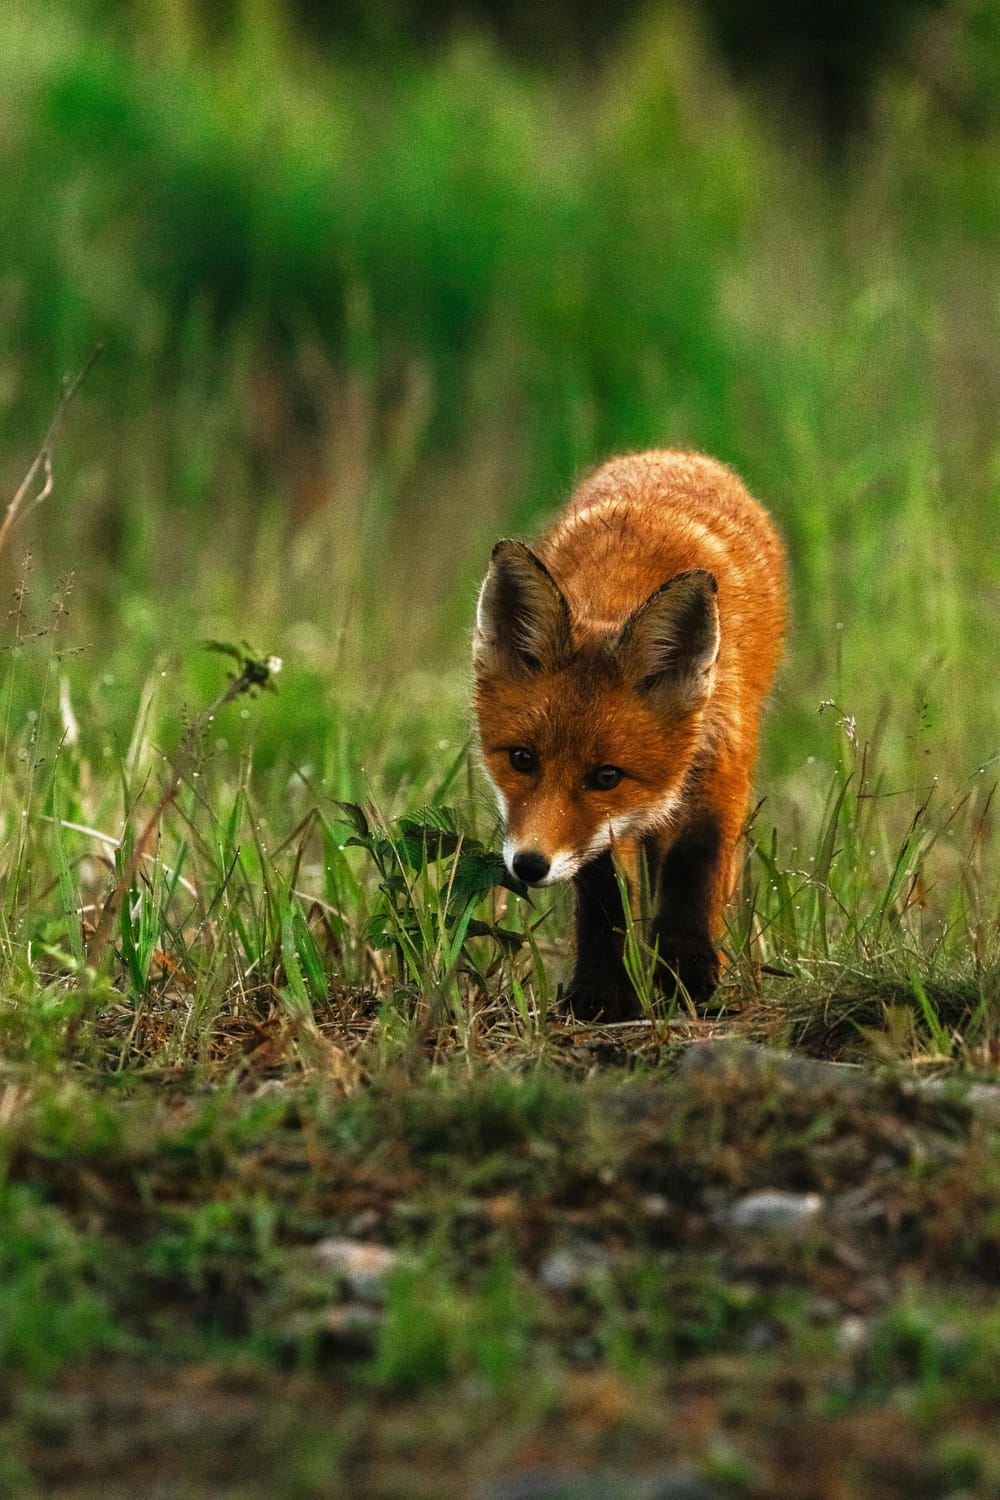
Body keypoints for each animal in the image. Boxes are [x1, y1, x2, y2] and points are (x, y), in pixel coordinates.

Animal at [472, 449, 786, 1020]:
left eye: (607, 777)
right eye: (522, 759)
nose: (528, 865)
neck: (620, 591)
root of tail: (673, 453)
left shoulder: (720, 763)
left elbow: (695, 869)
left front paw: (688, 975)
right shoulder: (597, 837)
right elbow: (606, 897)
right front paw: (603, 992)